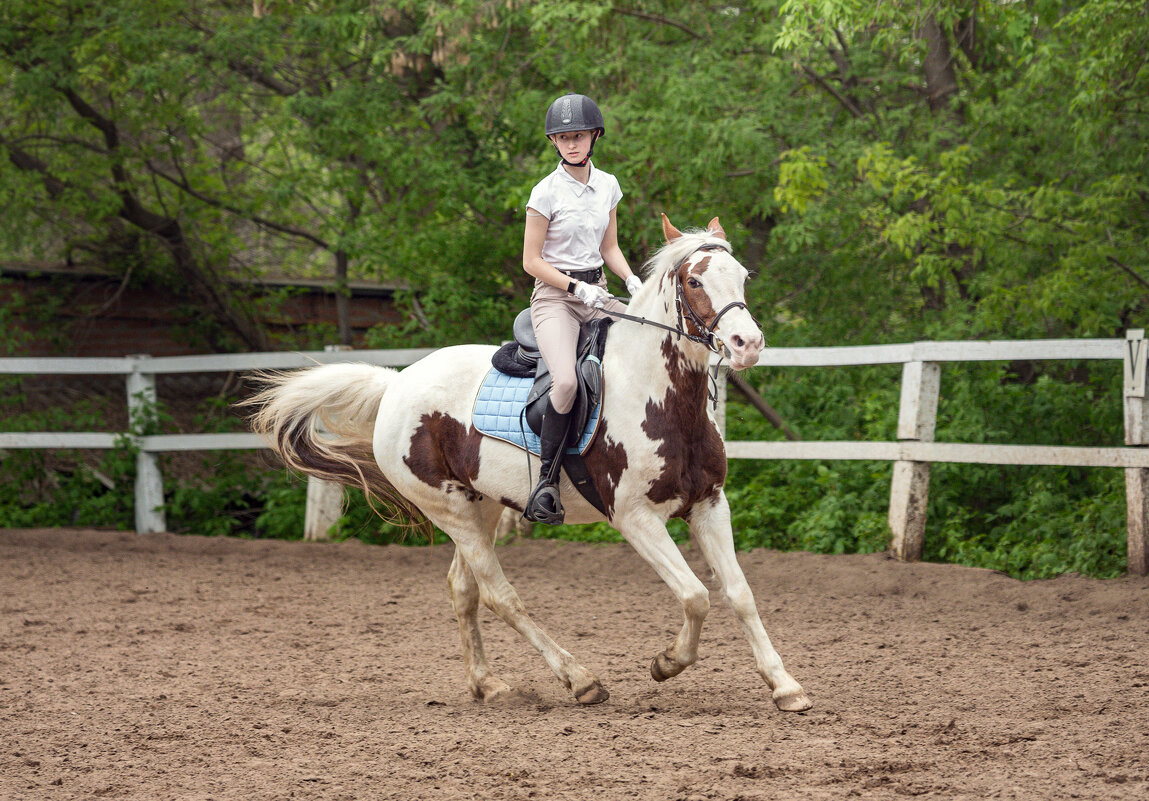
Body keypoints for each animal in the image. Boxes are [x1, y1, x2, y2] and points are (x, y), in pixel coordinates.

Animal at [247, 216, 813, 707]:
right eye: (695, 280)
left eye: (742, 276)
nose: (748, 344)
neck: (659, 395)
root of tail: (396, 384)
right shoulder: (635, 518)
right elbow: (696, 595)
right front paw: (666, 663)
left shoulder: (709, 504)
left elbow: (739, 592)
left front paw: (785, 686)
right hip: (448, 509)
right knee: (501, 595)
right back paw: (580, 680)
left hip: (483, 505)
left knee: (463, 589)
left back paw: (488, 684)